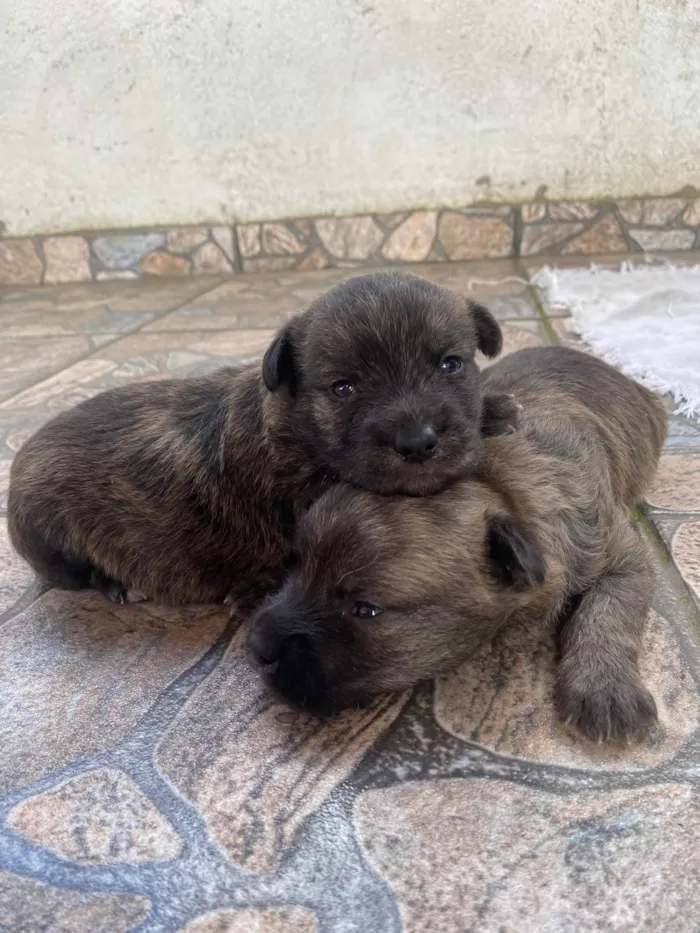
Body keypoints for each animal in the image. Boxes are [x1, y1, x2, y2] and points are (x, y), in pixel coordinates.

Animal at [8, 272, 516, 604]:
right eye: (343, 388)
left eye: (451, 364)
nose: (417, 442)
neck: (295, 423)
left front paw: (495, 410)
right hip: (46, 526)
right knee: (67, 573)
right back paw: (114, 583)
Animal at [247, 344, 668, 744]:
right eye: (298, 561)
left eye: (366, 611)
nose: (256, 645)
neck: (499, 486)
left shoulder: (618, 549)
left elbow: (610, 609)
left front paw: (605, 689)